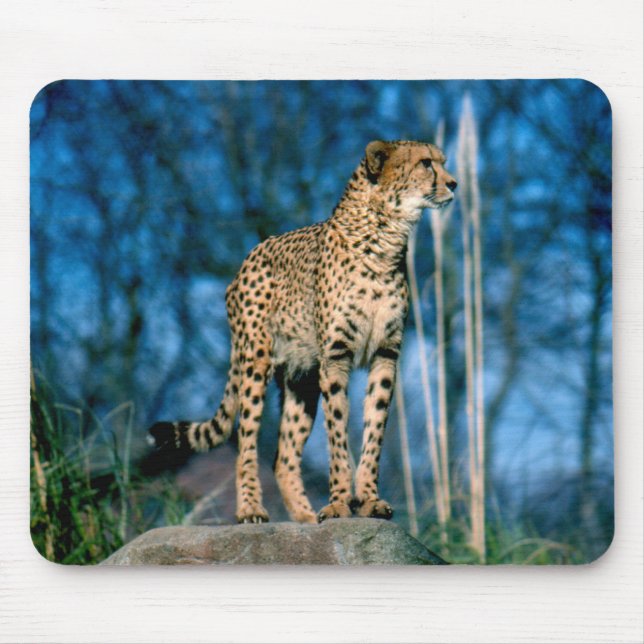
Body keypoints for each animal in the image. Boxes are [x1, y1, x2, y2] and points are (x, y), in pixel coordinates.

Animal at [149, 139, 457, 524]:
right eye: (426, 163)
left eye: (442, 162)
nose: (454, 183)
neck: (385, 235)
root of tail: (249, 257)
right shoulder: (335, 356)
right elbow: (337, 431)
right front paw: (339, 503)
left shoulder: (386, 354)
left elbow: (375, 430)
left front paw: (369, 500)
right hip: (256, 362)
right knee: (246, 439)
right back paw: (251, 508)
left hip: (302, 378)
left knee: (283, 458)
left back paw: (307, 519)